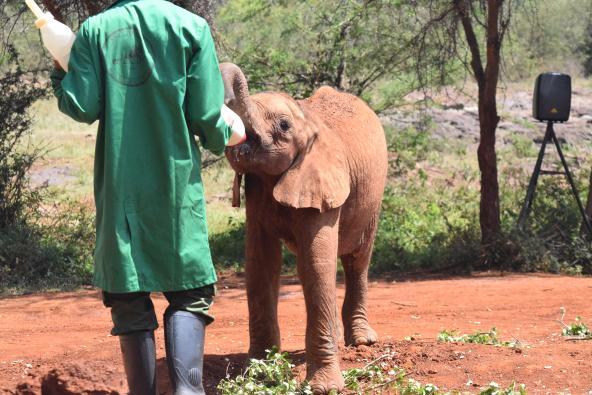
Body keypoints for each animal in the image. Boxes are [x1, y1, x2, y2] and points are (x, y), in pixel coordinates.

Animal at [222, 63, 388, 394]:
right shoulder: (257, 188)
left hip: (373, 197)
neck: (306, 118)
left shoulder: (322, 180)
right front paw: (259, 375)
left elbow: (314, 265)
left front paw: (325, 388)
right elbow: (260, 264)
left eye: (284, 125)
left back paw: (362, 341)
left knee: (357, 259)